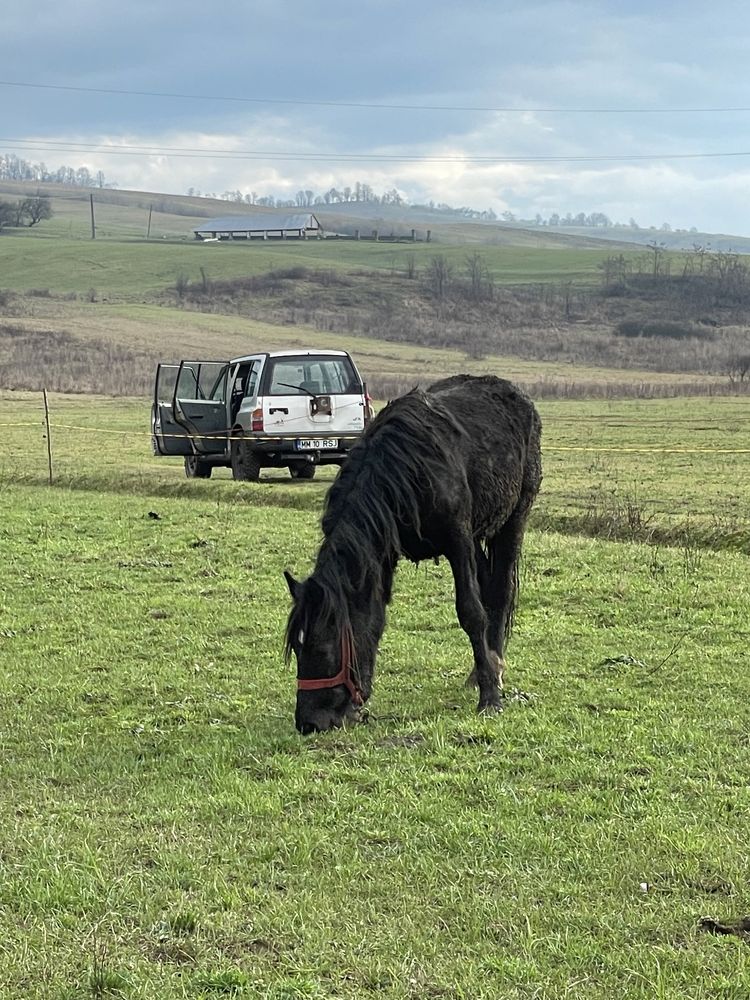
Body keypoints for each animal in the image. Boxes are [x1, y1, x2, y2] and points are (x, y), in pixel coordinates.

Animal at [284, 376, 544, 736]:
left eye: (322, 647)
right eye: (296, 646)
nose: (309, 722)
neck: (405, 470)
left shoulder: (457, 540)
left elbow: (471, 612)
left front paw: (491, 698)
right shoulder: (381, 555)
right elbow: (374, 619)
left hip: (513, 517)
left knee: (501, 592)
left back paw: (493, 670)